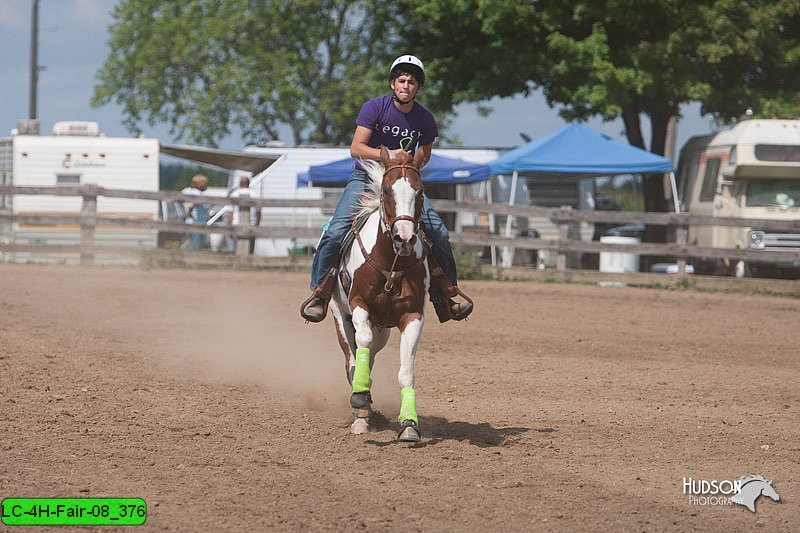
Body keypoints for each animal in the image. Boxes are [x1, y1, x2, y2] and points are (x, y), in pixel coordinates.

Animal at [328, 144, 432, 440]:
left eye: (420, 192)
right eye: (386, 191)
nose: (404, 238)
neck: (390, 261)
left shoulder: (413, 316)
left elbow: (406, 372)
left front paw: (409, 424)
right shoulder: (359, 303)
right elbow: (360, 345)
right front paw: (360, 400)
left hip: (383, 330)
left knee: (370, 355)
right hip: (340, 316)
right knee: (352, 359)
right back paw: (360, 408)